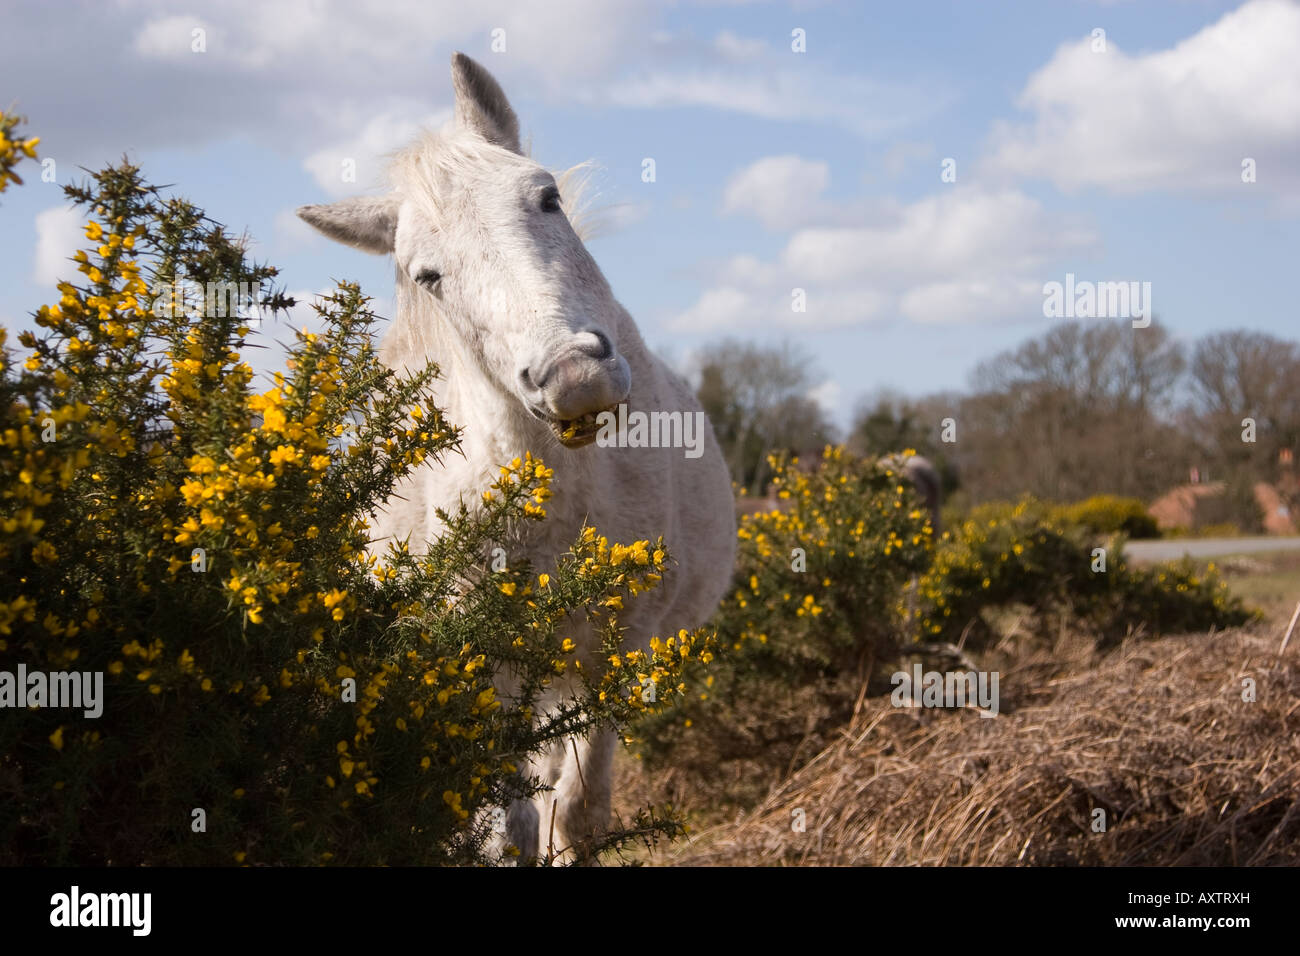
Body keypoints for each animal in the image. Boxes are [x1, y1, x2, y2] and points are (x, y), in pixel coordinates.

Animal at [297, 54, 738, 868]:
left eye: (548, 198)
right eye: (428, 275)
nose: (574, 377)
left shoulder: (612, 653)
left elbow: (578, 814)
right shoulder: (484, 664)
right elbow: (510, 828)